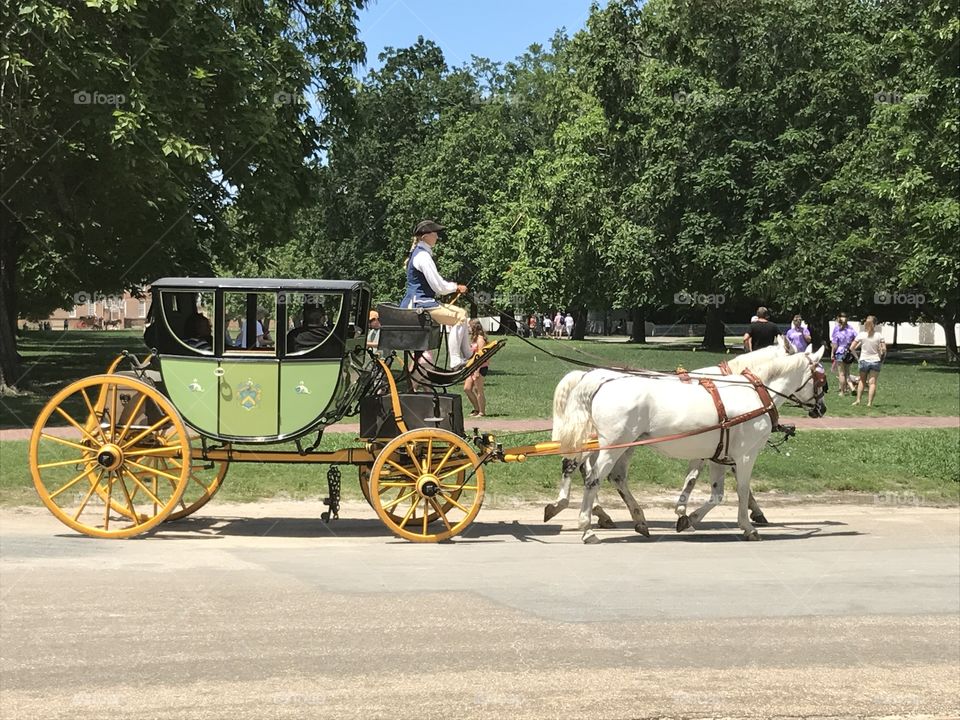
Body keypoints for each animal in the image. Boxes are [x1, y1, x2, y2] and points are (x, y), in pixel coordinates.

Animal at [560, 346, 828, 544]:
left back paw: (636, 520)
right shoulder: (745, 455)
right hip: (614, 445)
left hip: (623, 444)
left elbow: (715, 494)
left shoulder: (718, 456)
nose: (822, 409)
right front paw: (748, 525)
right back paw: (587, 527)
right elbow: (741, 490)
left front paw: (688, 518)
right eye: (822, 379)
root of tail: (599, 380)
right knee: (592, 478)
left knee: (605, 475)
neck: (755, 393)